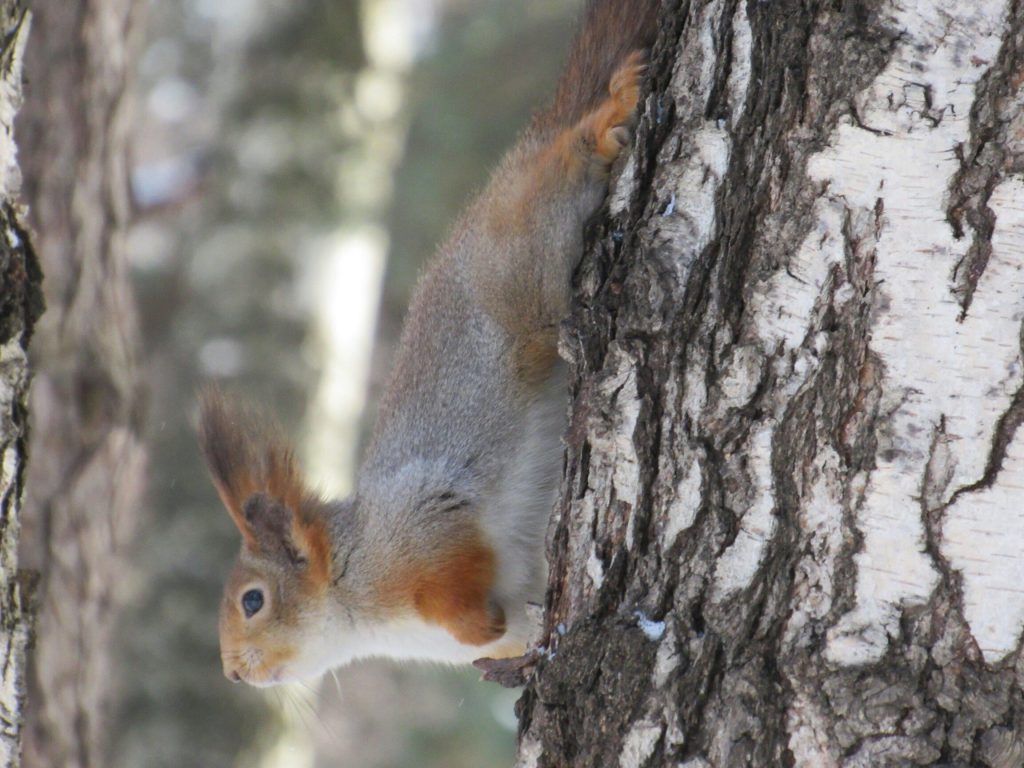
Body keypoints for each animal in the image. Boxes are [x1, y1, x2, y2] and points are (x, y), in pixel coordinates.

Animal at [198, 0, 659, 684]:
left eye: (252, 601)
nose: (232, 672)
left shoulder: (424, 526)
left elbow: (457, 577)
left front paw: (480, 625)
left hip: (525, 258)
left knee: (566, 154)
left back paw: (610, 110)